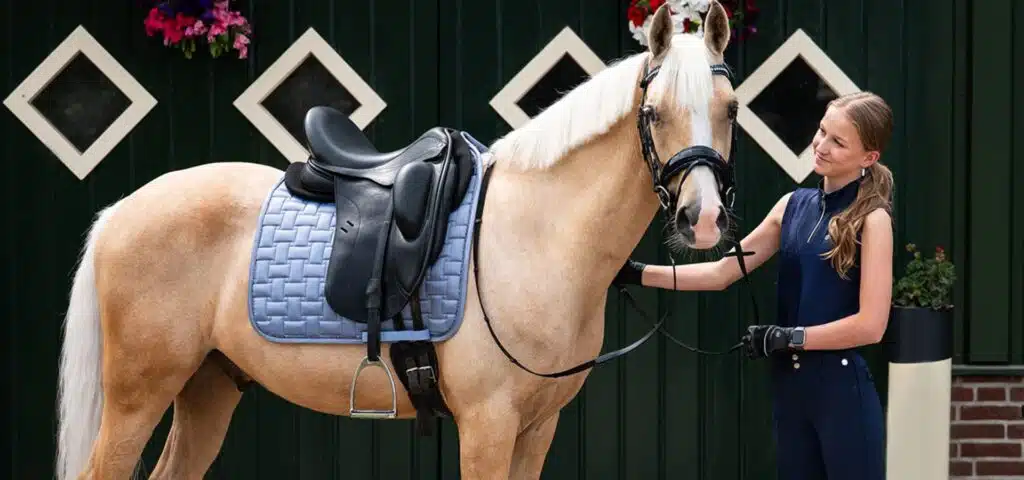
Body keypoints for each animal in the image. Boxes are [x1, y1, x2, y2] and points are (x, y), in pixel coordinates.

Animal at [56, 3, 740, 479]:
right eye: (653, 114)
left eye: (731, 108)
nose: (702, 218)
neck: (535, 236)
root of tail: (120, 212)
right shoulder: (489, 425)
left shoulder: (536, 428)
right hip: (136, 397)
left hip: (207, 386)